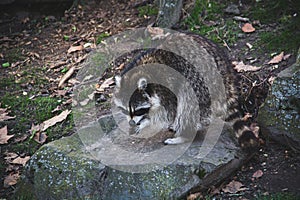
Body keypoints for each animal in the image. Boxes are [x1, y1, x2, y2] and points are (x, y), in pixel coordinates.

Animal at [112, 31, 258, 150]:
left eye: (138, 110)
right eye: (124, 110)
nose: (131, 123)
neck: (139, 72)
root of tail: (228, 73)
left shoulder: (166, 88)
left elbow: (168, 113)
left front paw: (145, 123)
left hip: (203, 82)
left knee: (188, 102)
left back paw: (185, 135)